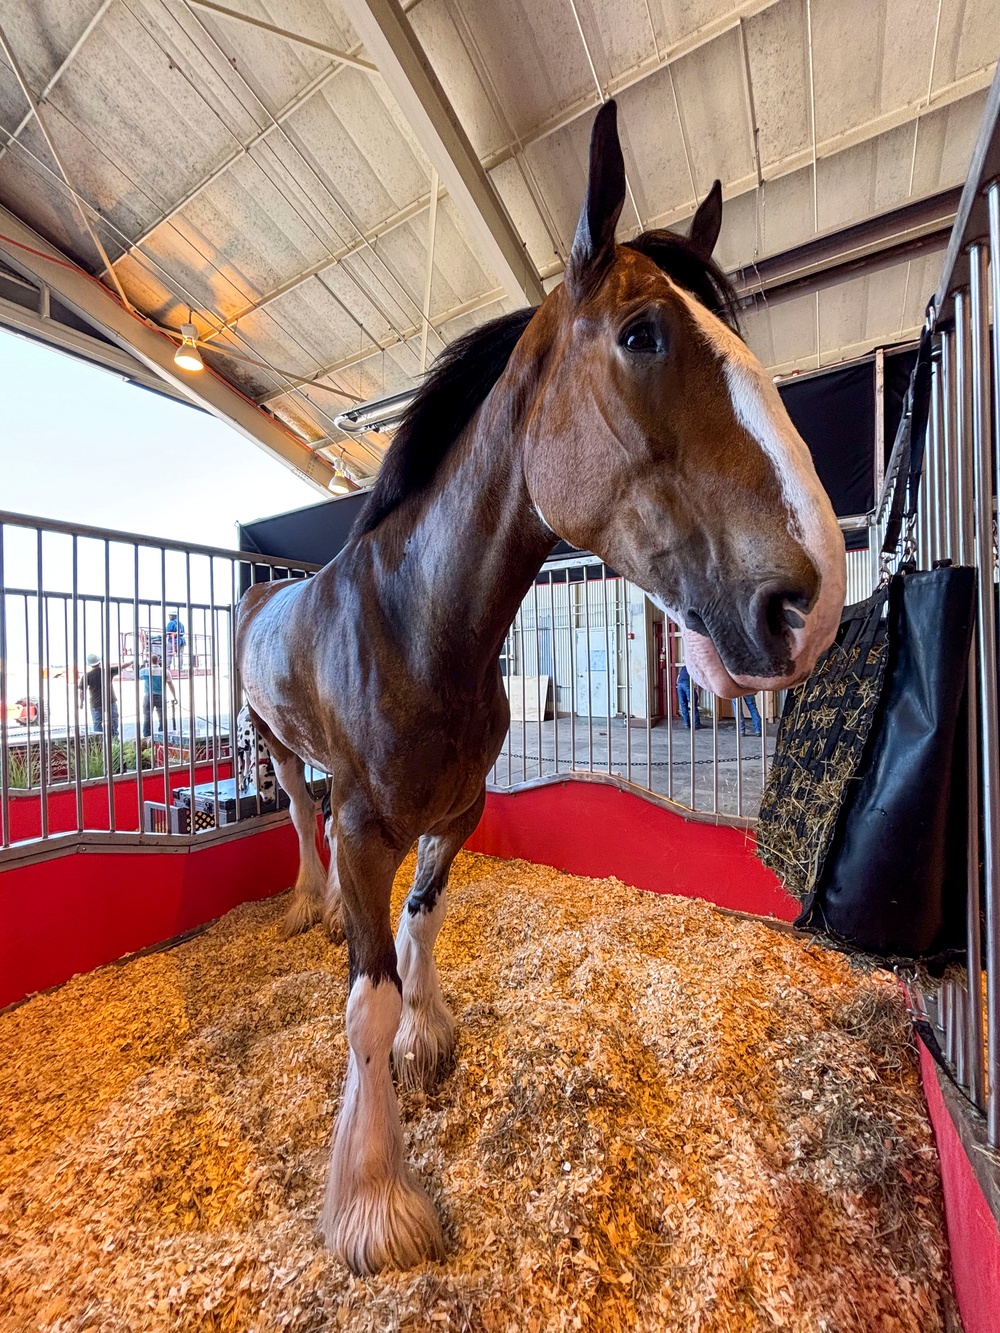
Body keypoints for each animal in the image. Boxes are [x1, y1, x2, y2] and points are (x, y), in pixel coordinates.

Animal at [238, 101, 848, 1269]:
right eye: (643, 333)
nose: (812, 602)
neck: (417, 627)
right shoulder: (367, 828)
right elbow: (365, 1000)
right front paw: (375, 1198)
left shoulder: (460, 809)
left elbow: (424, 925)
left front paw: (429, 1039)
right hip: (281, 753)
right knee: (294, 814)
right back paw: (303, 905)